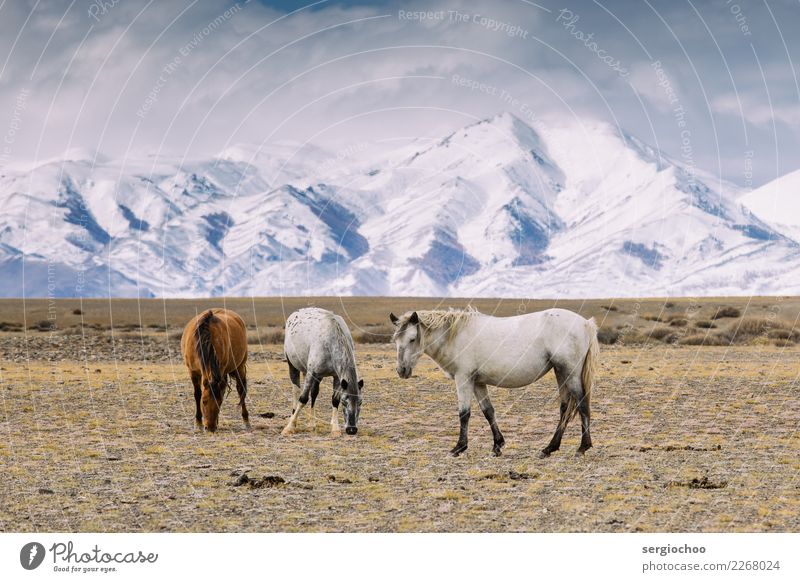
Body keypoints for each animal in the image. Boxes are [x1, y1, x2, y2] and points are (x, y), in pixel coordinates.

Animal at [282, 310, 364, 438]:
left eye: (360, 402)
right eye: (344, 401)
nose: (352, 429)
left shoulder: (337, 377)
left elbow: (334, 400)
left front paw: (335, 429)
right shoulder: (311, 373)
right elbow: (303, 399)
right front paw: (289, 427)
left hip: (318, 377)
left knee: (314, 394)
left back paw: (312, 424)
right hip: (293, 367)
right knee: (296, 391)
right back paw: (293, 419)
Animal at [390, 308, 596, 458]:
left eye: (412, 339)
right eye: (395, 340)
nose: (402, 371)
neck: (455, 336)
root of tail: (585, 323)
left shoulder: (463, 379)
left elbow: (464, 413)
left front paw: (459, 447)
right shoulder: (478, 383)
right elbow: (488, 411)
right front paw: (498, 445)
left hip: (570, 373)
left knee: (582, 404)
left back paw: (582, 447)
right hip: (561, 373)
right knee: (565, 408)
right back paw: (550, 448)